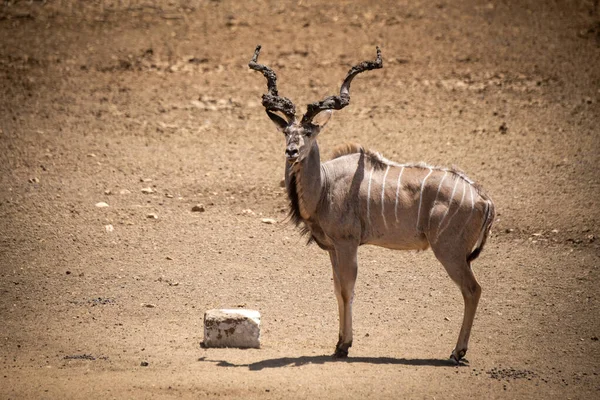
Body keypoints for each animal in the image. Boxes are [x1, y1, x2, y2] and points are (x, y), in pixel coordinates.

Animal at [250, 45, 496, 360]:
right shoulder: (333, 248)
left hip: (450, 252)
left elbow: (347, 290)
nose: (291, 151)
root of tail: (483, 198)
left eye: (308, 133)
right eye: (286, 132)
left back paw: (457, 352)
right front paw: (338, 343)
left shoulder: (348, 243)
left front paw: (344, 345)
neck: (325, 185)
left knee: (473, 290)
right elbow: (337, 289)